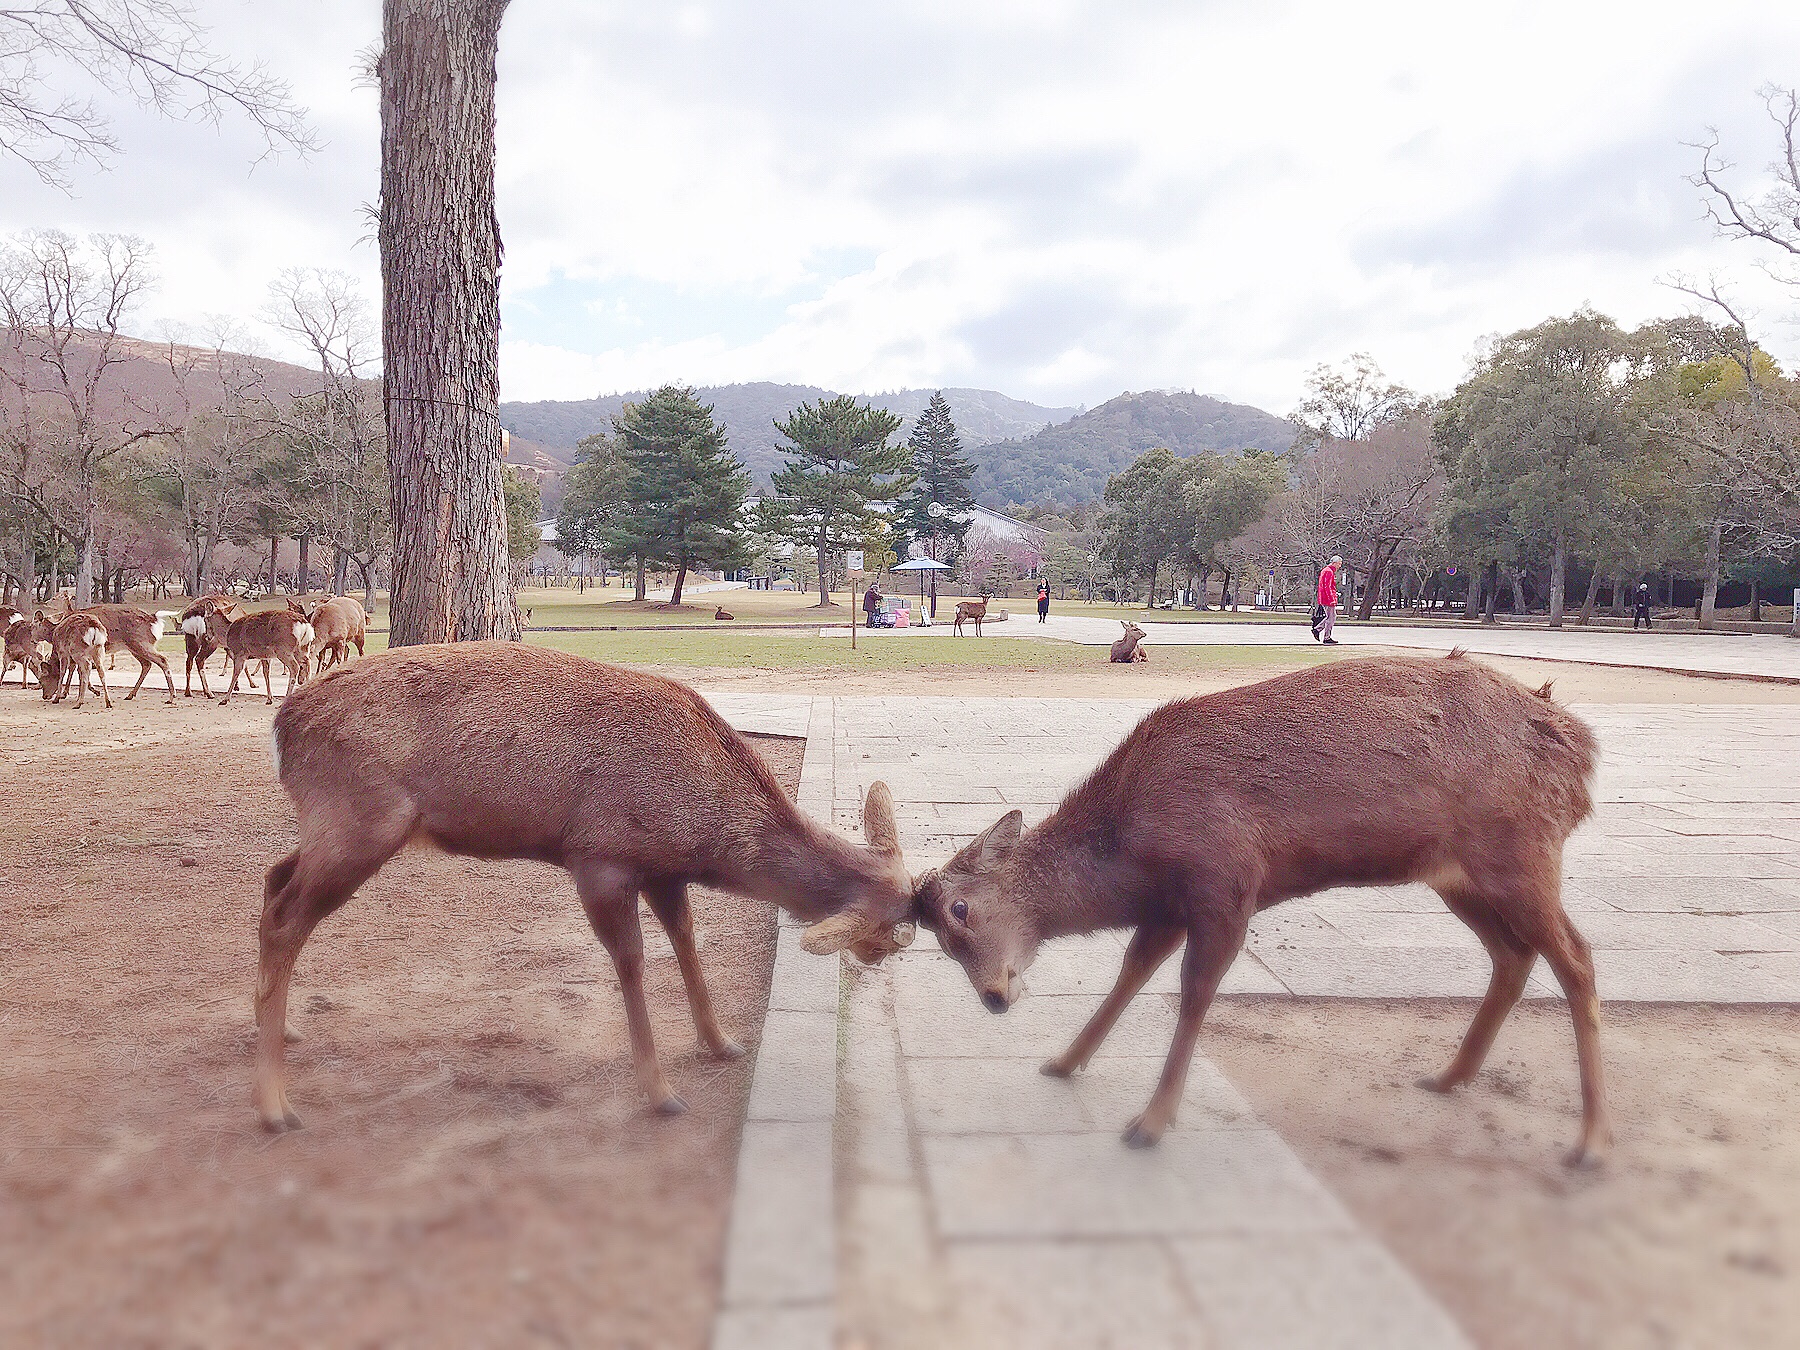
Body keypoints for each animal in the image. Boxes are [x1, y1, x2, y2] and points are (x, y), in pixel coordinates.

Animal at [253, 640, 914, 1130]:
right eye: (894, 923)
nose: (886, 954)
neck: (701, 832)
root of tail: (284, 725)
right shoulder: (599, 856)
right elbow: (632, 962)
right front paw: (660, 1092)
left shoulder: (662, 870)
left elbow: (687, 941)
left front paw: (721, 1041)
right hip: (362, 821)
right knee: (287, 915)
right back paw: (275, 1106)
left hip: (332, 826)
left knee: (272, 879)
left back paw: (280, 1027)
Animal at [907, 655, 1612, 1173]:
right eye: (937, 939)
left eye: (961, 910)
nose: (994, 997)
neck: (1135, 849)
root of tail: (1580, 753)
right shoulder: (1171, 903)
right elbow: (1132, 972)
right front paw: (1062, 1061)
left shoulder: (1225, 881)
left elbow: (1194, 992)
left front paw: (1150, 1123)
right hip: (1458, 877)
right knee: (1513, 954)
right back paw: (1448, 1076)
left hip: (1521, 854)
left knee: (1577, 958)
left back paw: (1589, 1143)